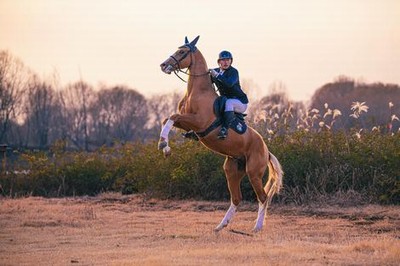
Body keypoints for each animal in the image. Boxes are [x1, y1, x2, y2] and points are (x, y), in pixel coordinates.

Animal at [158, 35, 282, 233]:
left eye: (182, 52)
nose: (164, 65)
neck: (197, 91)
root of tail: (266, 150)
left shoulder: (198, 122)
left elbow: (171, 117)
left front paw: (163, 144)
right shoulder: (186, 122)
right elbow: (167, 120)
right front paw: (166, 147)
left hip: (253, 172)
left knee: (262, 198)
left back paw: (257, 227)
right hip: (232, 170)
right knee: (236, 198)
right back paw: (220, 225)